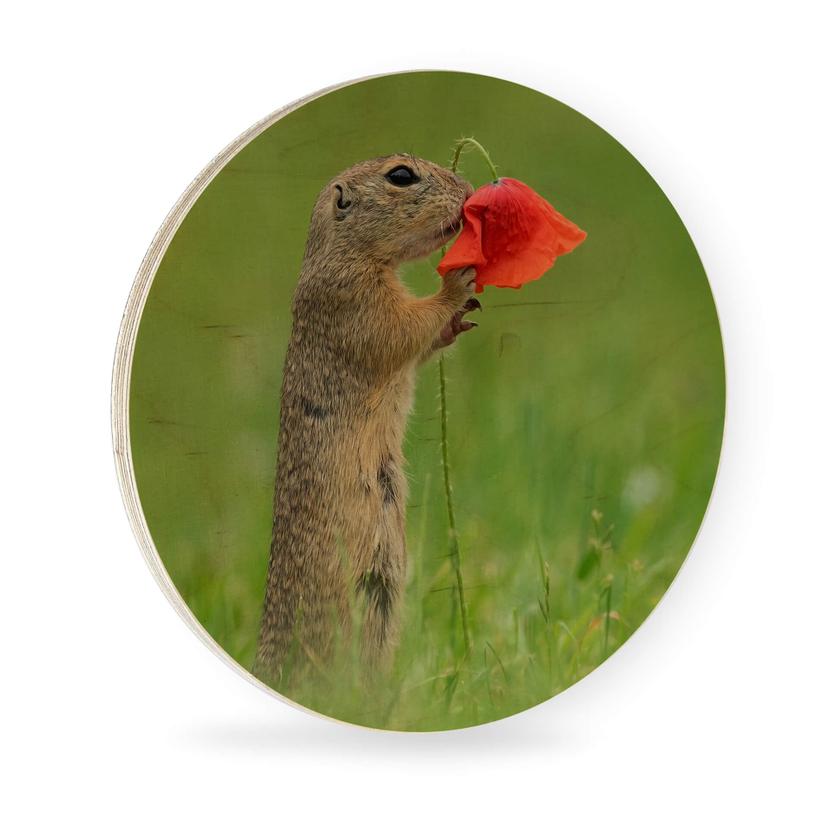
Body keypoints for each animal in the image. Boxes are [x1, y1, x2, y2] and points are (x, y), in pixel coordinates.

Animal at [253, 155, 480, 684]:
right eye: (401, 176)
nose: (468, 189)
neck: (345, 254)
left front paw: (458, 319)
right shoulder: (355, 300)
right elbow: (402, 328)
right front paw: (458, 281)